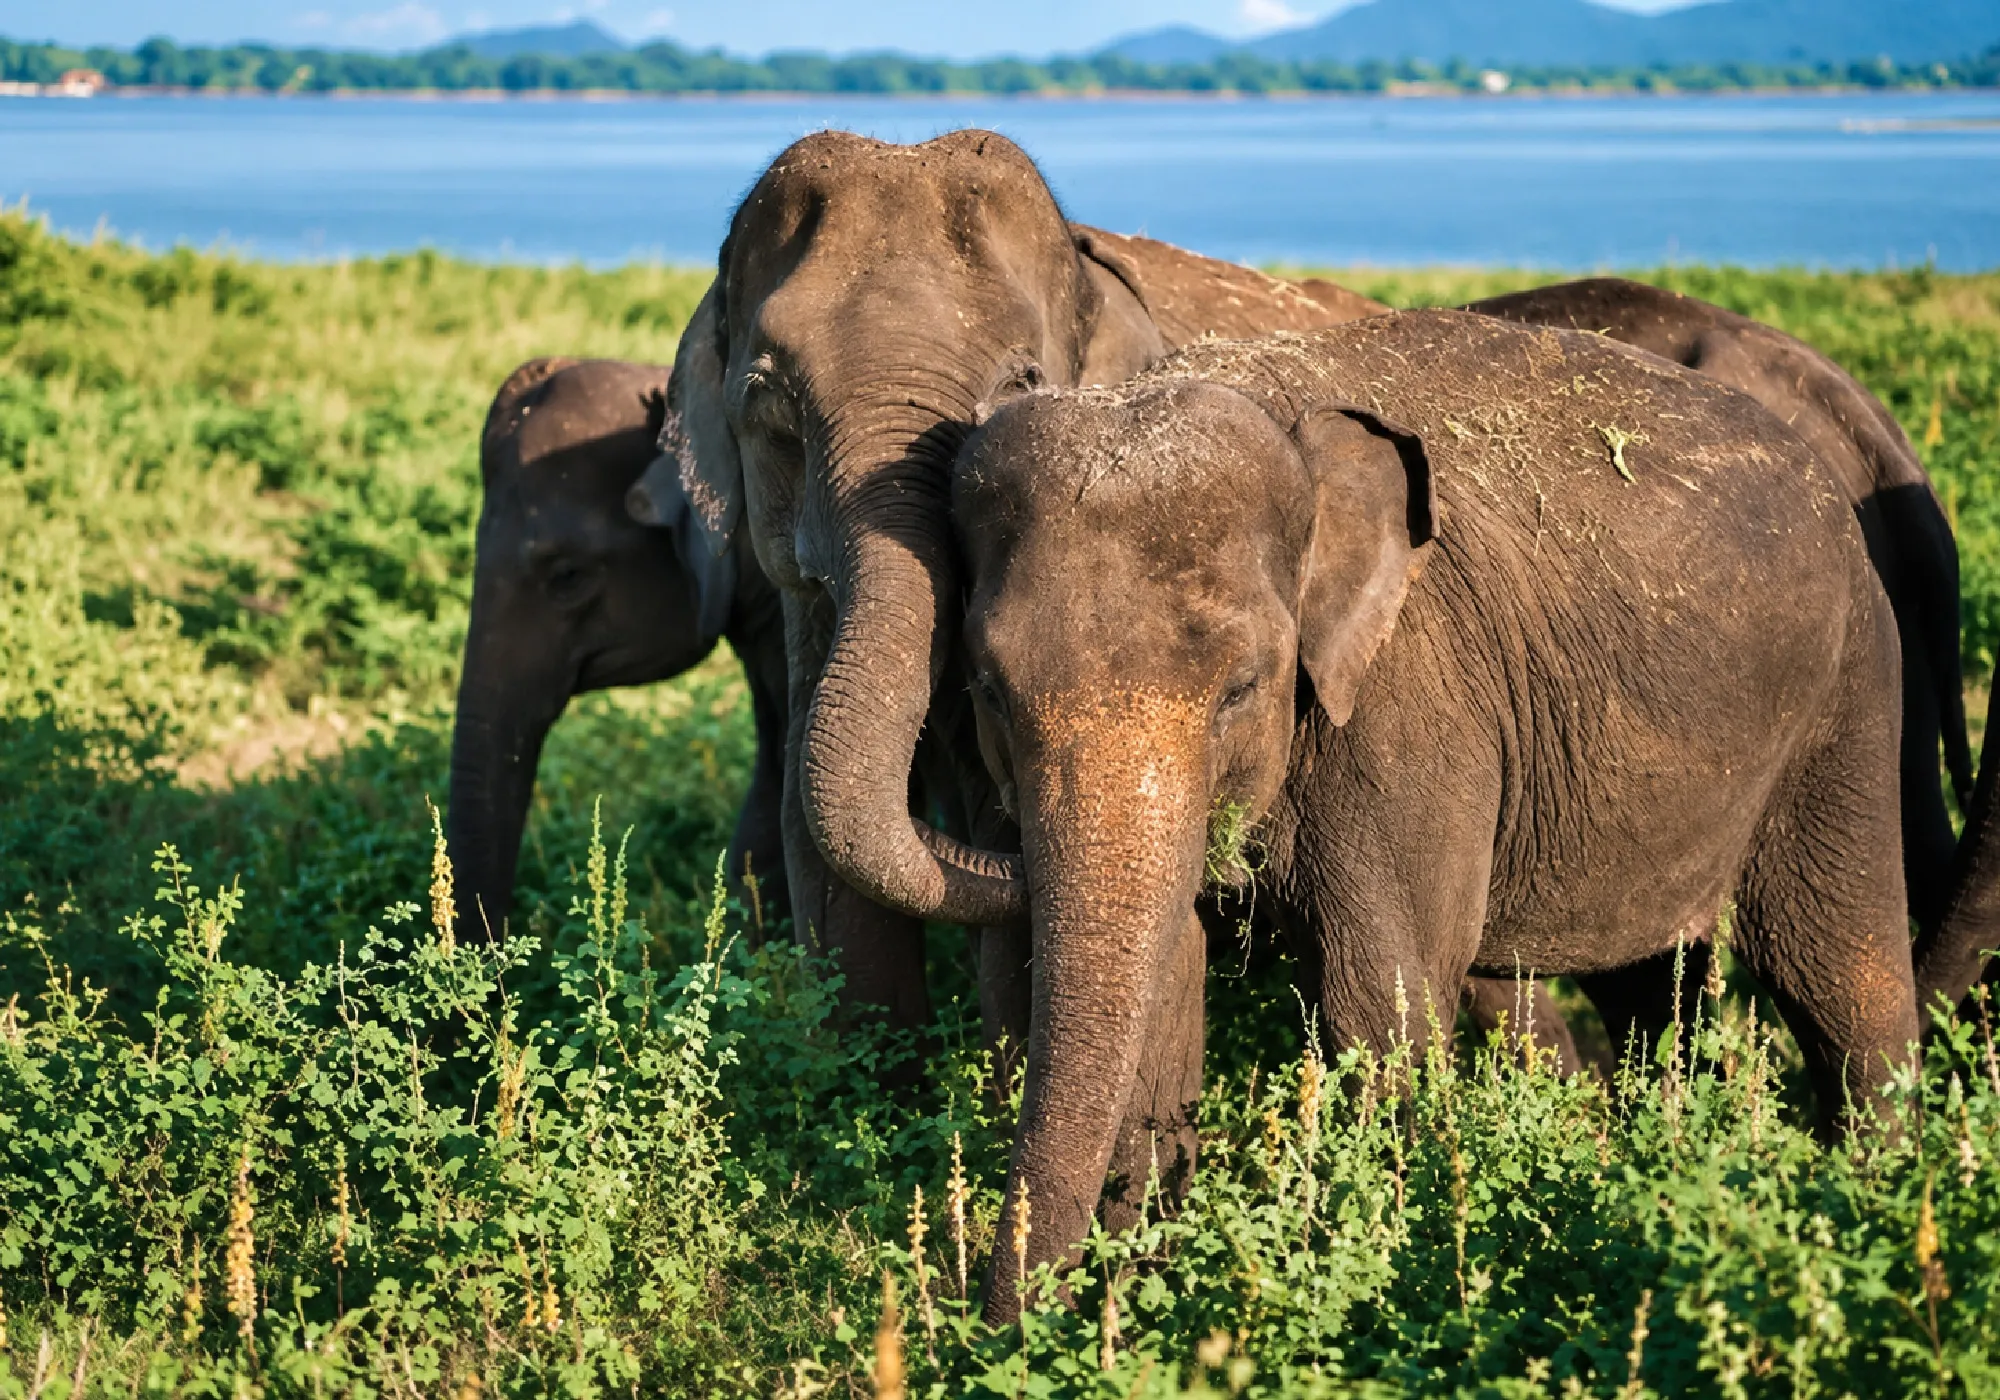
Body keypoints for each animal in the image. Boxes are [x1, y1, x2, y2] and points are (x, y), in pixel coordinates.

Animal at [950, 309, 1922, 1321]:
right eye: (987, 687)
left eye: (1241, 688)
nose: (997, 1325)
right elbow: (1166, 1005)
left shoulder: (1410, 708)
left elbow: (1378, 1001)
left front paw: (1382, 1275)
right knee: (1664, 993)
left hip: (1849, 694)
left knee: (1841, 979)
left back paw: (1876, 1209)